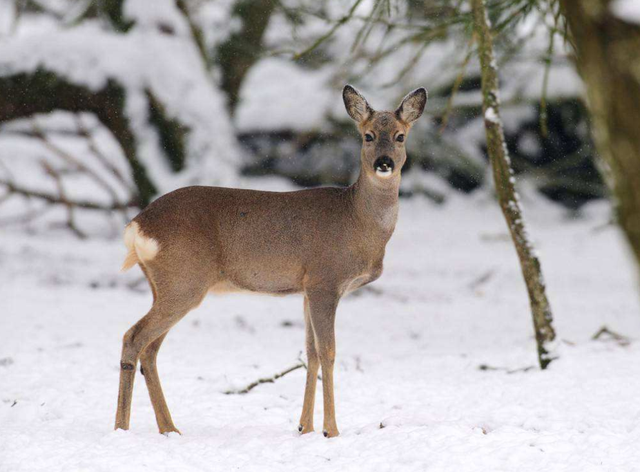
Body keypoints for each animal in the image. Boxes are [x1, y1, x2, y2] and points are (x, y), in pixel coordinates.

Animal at [115, 85, 427, 438]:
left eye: (400, 136)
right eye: (368, 135)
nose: (384, 163)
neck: (357, 222)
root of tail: (137, 225)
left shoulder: (306, 288)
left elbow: (310, 352)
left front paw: (304, 427)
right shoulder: (325, 280)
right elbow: (328, 352)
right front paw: (331, 431)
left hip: (165, 285)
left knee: (150, 349)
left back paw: (170, 429)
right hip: (184, 281)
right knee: (133, 337)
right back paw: (122, 429)